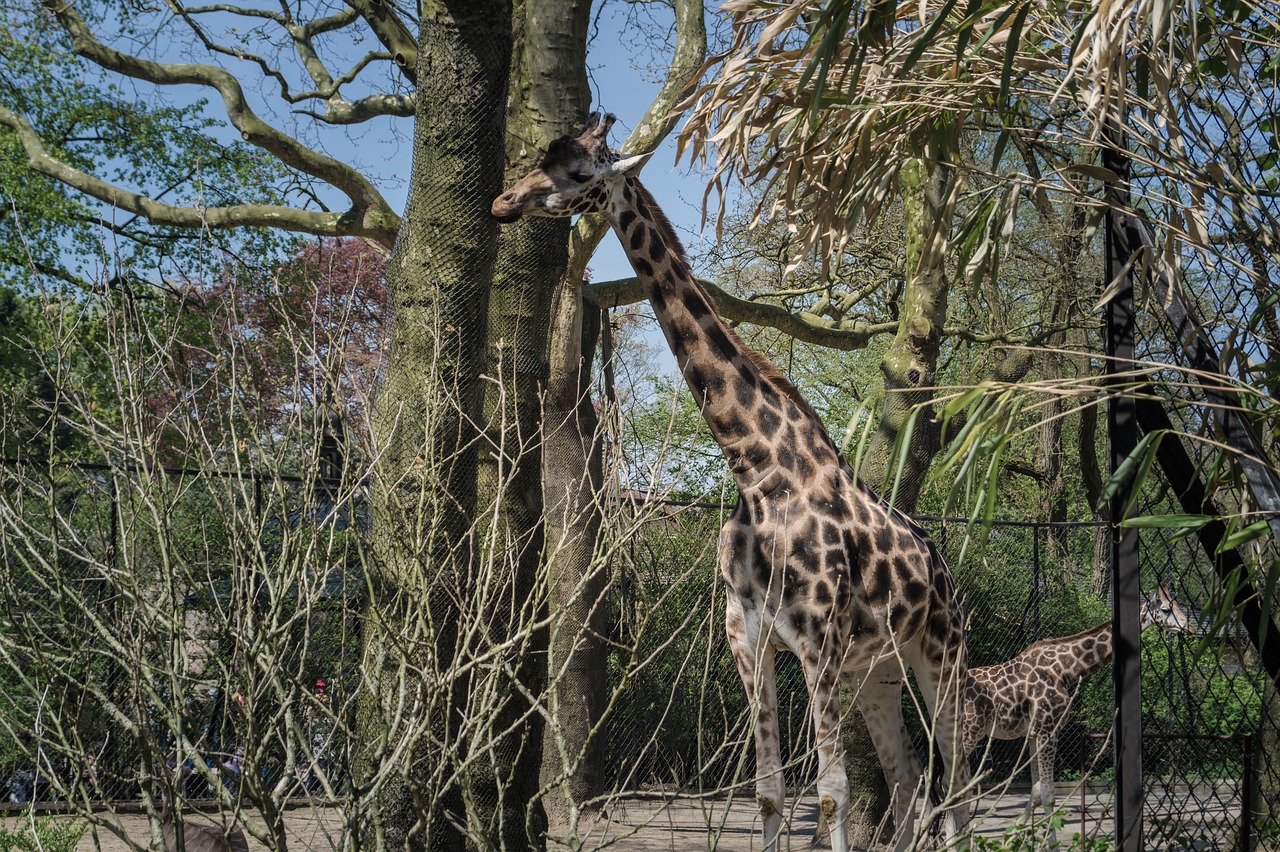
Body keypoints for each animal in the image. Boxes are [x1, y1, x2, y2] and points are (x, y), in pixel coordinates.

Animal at [491, 114, 967, 849]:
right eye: (546, 156)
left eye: (577, 171)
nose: (502, 203)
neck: (760, 473)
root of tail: (941, 563)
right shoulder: (748, 634)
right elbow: (771, 791)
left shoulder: (819, 639)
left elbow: (830, 792)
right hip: (877, 673)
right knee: (910, 781)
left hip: (938, 650)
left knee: (957, 779)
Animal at [962, 583, 1192, 834]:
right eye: (1165, 609)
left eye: (1178, 604)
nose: (1189, 626)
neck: (1065, 670)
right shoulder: (1048, 729)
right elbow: (1048, 795)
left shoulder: (1034, 733)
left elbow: (1036, 790)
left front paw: (1013, 834)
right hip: (969, 733)